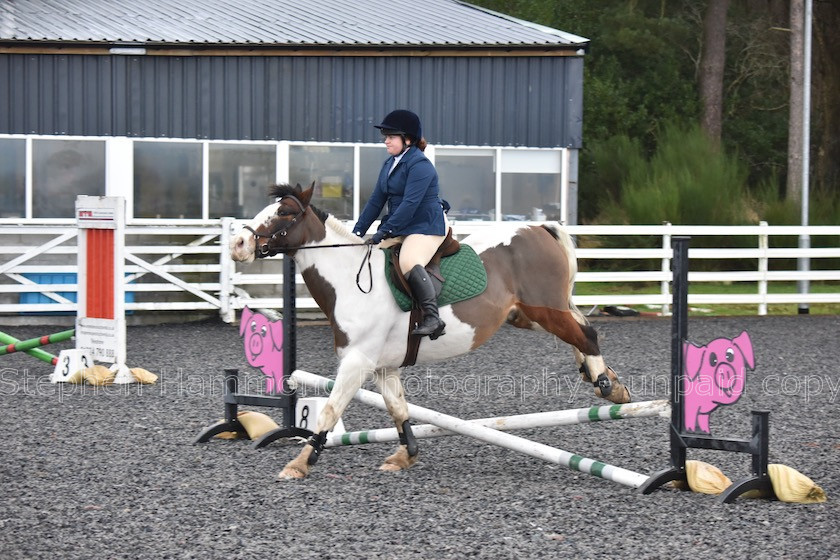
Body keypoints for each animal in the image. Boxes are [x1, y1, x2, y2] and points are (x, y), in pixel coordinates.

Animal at [230, 182, 632, 480]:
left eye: (285, 212)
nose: (238, 245)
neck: (348, 280)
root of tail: (539, 228)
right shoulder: (382, 366)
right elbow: (398, 408)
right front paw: (405, 455)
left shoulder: (358, 362)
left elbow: (330, 410)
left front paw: (300, 463)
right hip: (529, 314)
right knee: (580, 326)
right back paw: (604, 377)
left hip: (544, 309)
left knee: (586, 335)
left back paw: (607, 386)